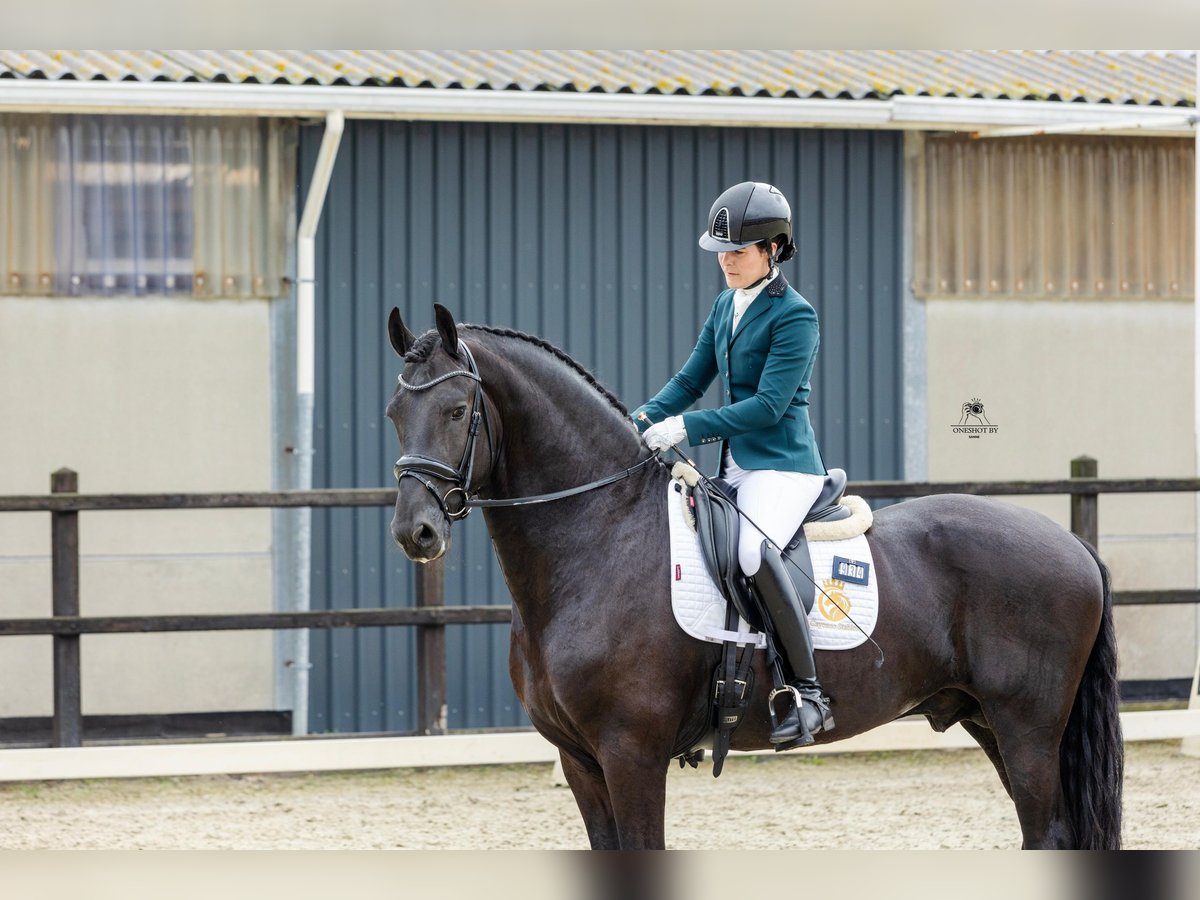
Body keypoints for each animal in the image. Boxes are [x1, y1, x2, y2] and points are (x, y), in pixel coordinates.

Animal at [384, 307, 1123, 849]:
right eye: (395, 413)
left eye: (457, 411)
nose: (414, 532)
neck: (601, 534)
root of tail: (1074, 546)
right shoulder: (580, 760)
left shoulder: (631, 753)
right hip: (987, 720)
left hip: (1027, 727)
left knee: (1047, 835)